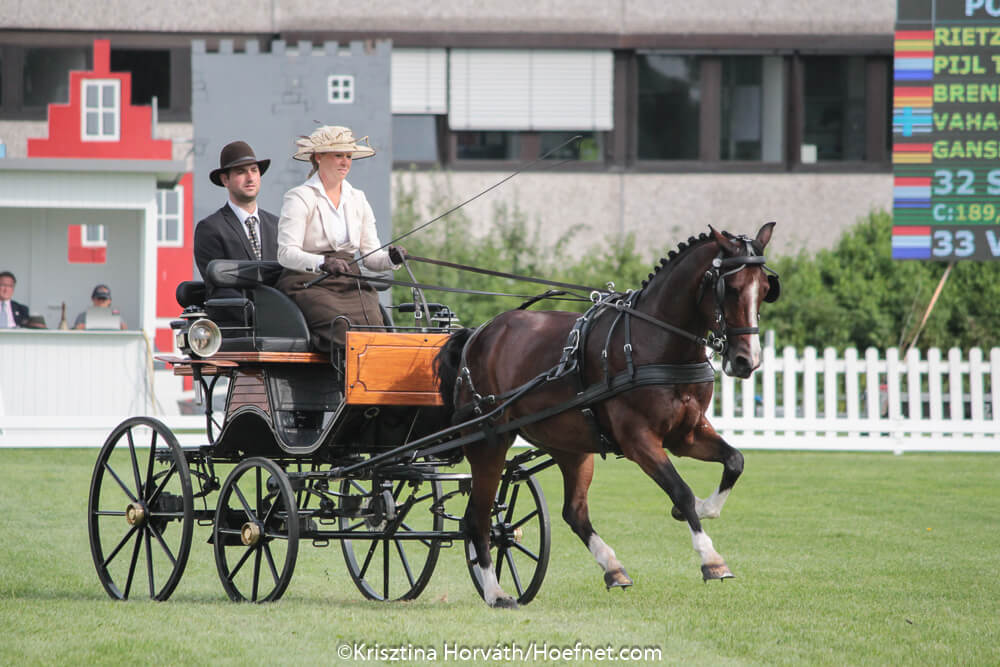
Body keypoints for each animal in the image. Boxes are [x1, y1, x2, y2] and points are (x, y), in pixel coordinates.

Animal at [435, 223, 779, 608]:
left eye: (766, 289)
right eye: (731, 289)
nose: (746, 361)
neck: (653, 340)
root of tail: (477, 334)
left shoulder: (686, 434)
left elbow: (734, 462)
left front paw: (704, 510)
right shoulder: (638, 440)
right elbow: (680, 489)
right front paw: (711, 558)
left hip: (569, 446)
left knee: (573, 512)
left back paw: (612, 568)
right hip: (489, 442)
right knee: (477, 519)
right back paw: (495, 592)